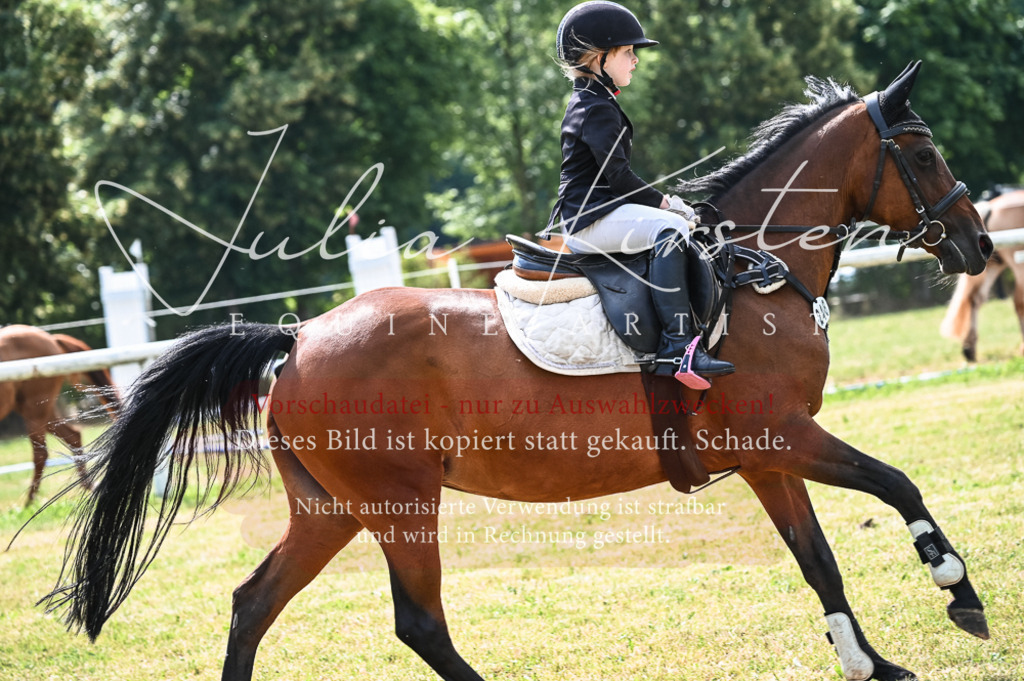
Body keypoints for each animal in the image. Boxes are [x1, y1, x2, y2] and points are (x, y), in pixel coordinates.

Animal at [0, 325, 120, 504]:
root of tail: (51, 338)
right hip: (40, 411)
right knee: (73, 436)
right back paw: (89, 485)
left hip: (34, 410)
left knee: (41, 453)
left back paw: (29, 503)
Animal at [39, 62, 994, 681]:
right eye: (923, 152)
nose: (980, 245)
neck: (757, 271)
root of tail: (299, 338)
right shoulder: (788, 434)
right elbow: (897, 483)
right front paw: (957, 589)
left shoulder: (767, 456)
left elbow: (819, 560)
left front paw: (875, 663)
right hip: (397, 501)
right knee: (418, 622)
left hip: (329, 508)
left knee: (251, 604)